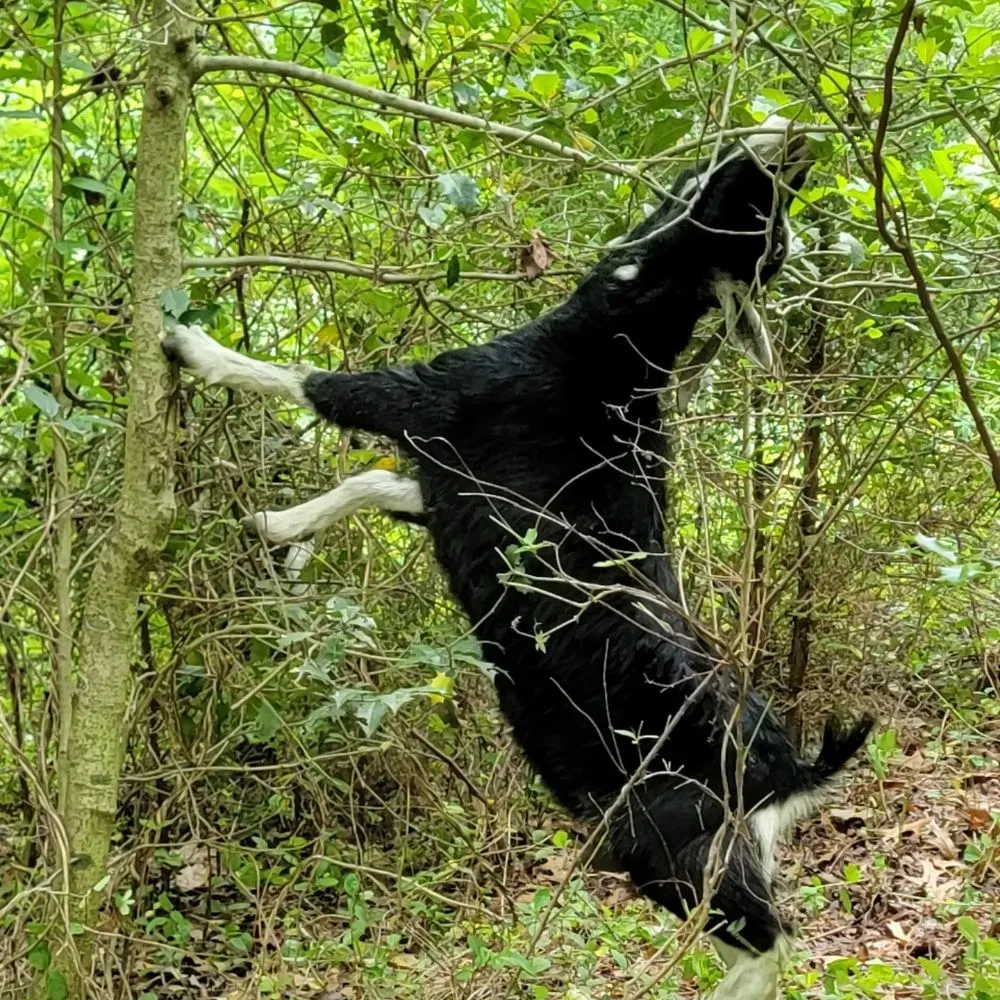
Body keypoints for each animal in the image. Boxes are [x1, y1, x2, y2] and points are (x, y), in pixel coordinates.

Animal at [164, 117, 872, 999]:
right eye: (766, 226)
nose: (794, 138)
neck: (605, 350)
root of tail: (786, 768)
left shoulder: (433, 398)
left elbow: (311, 383)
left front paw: (186, 343)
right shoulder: (450, 487)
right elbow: (370, 482)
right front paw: (281, 534)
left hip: (660, 839)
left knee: (764, 941)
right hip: (715, 847)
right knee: (762, 932)